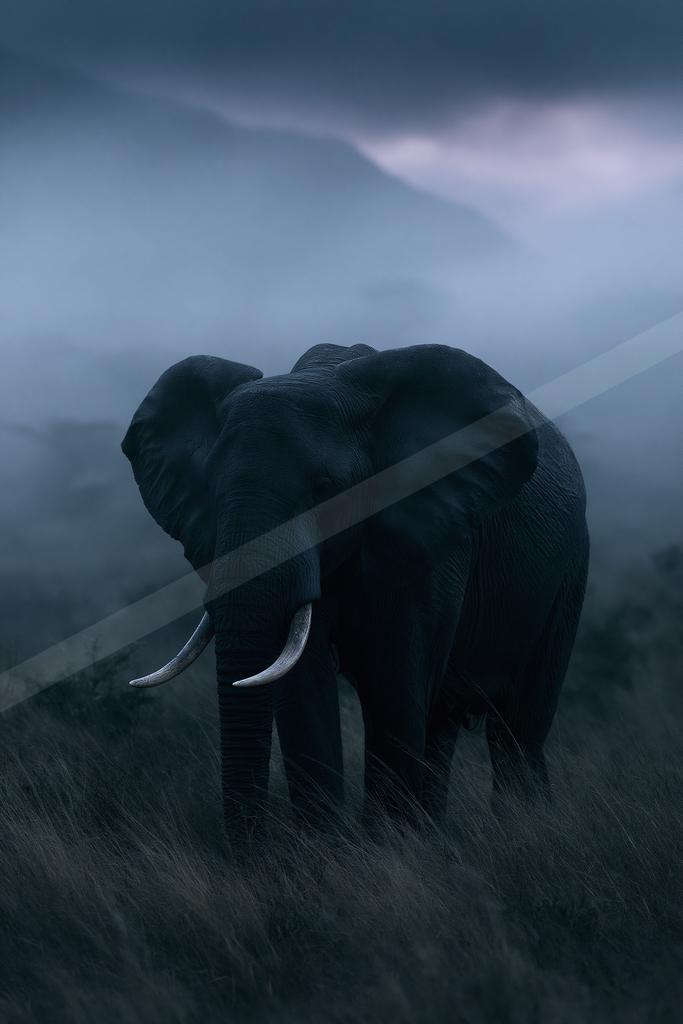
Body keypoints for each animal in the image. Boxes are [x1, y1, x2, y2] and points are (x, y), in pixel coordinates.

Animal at [122, 343, 589, 837]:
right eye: (210, 488)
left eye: (325, 489)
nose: (251, 847)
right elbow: (302, 685)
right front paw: (327, 850)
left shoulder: (432, 536)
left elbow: (394, 679)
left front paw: (390, 847)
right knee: (443, 724)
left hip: (570, 567)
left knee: (518, 730)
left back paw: (525, 825)